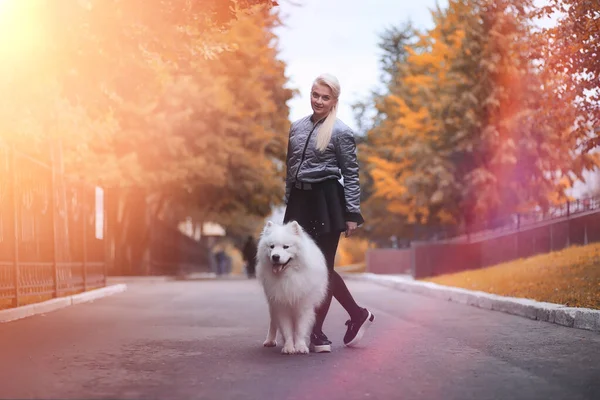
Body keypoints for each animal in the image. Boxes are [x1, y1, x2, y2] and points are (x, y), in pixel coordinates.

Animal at [254, 220, 328, 354]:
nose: (275, 256)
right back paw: (270, 340)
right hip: (272, 304)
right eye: (271, 247)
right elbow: (286, 329)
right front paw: (288, 347)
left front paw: (300, 347)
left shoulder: (303, 306)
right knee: (273, 322)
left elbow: (299, 330)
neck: (288, 276)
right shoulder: (281, 305)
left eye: (286, 247)